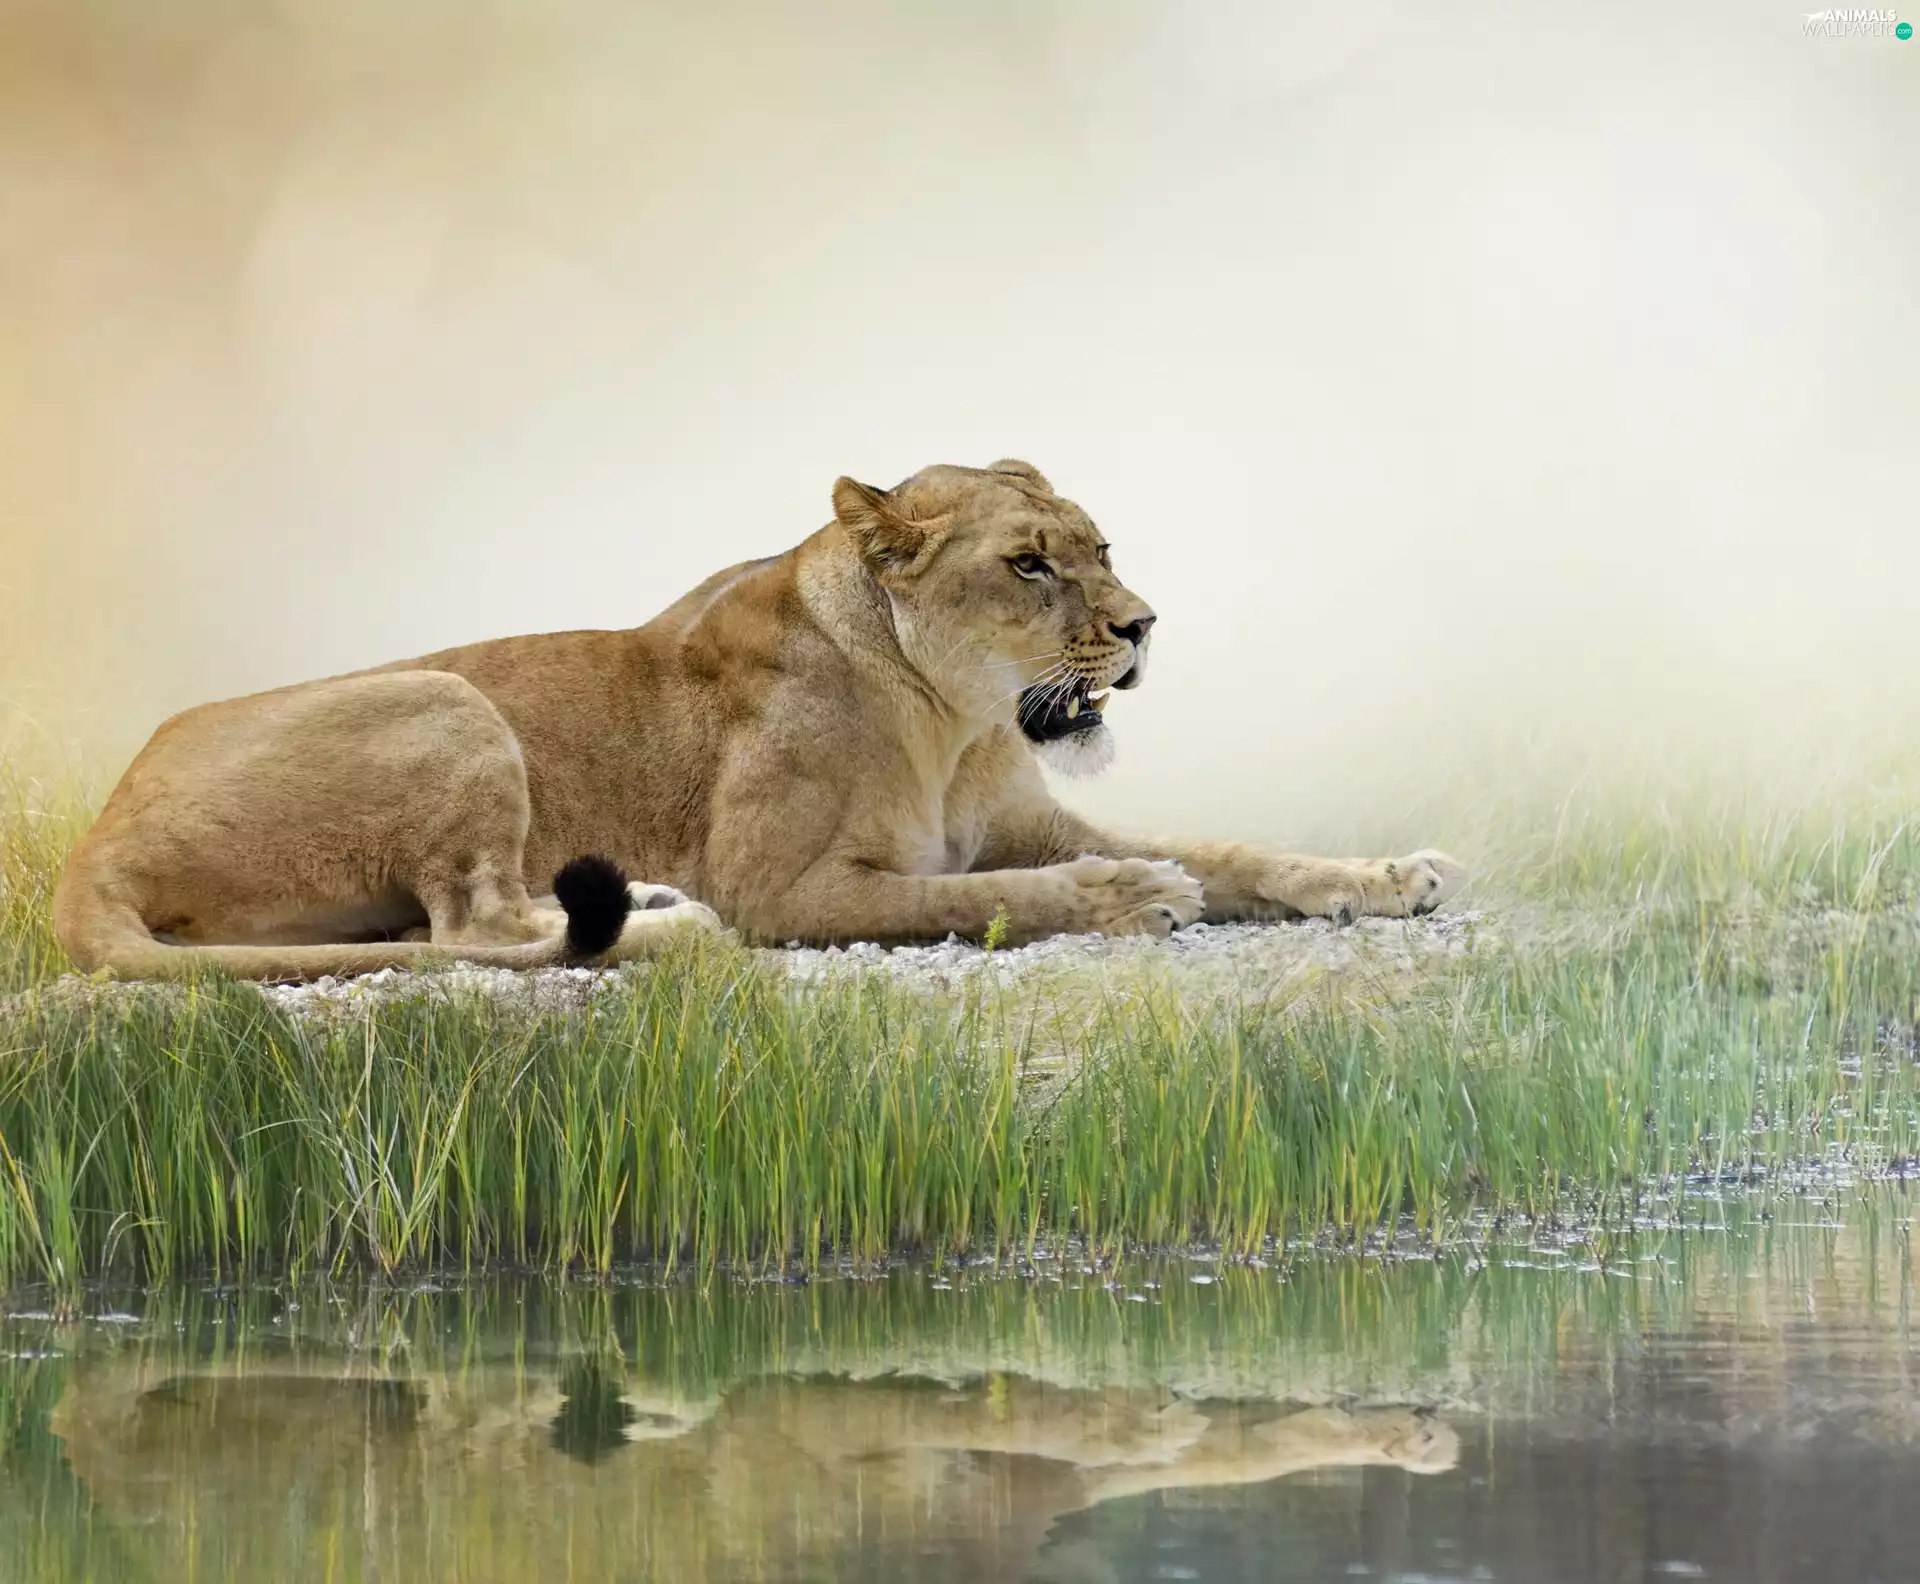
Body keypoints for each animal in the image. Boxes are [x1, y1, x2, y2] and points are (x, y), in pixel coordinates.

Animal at [53, 459, 1465, 980]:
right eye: (1027, 565)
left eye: (1100, 548)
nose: (1143, 626)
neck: (955, 724)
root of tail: (90, 845)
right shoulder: (791, 887)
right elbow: (973, 899)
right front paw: (1133, 900)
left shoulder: (1035, 823)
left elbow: (1236, 850)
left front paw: (1391, 875)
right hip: (442, 696)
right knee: (476, 924)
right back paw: (671, 924)